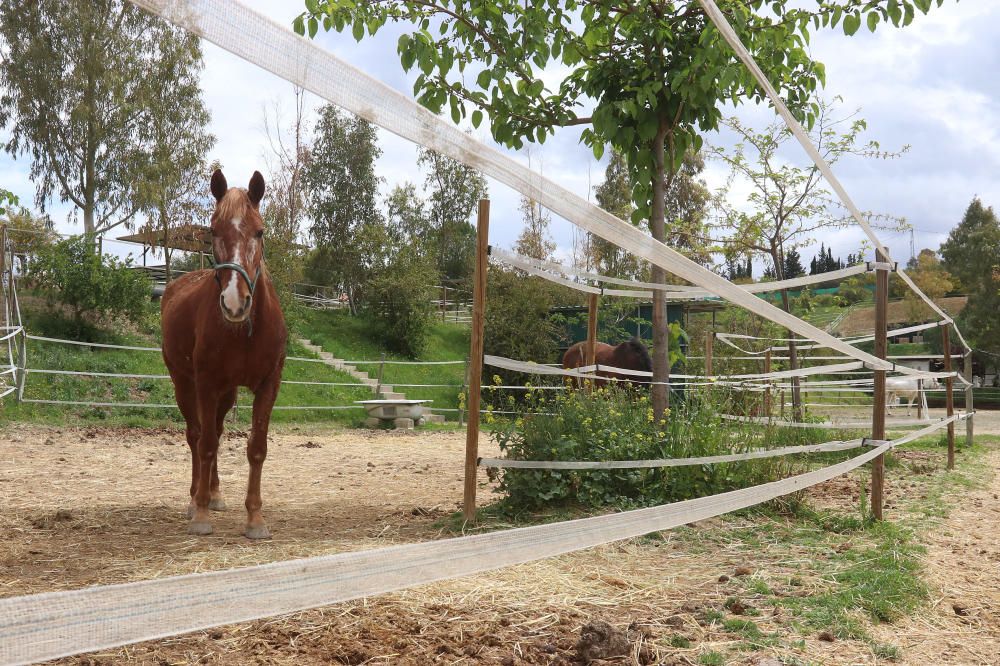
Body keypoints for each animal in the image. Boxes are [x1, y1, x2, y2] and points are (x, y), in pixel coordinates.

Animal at [160, 169, 286, 536]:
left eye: (260, 231)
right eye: (214, 231)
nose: (234, 302)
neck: (244, 332)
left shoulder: (268, 385)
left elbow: (256, 448)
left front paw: (255, 519)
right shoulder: (205, 383)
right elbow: (205, 445)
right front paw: (201, 514)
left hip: (226, 393)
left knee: (214, 430)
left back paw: (214, 494)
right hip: (184, 385)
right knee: (197, 436)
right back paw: (195, 499)